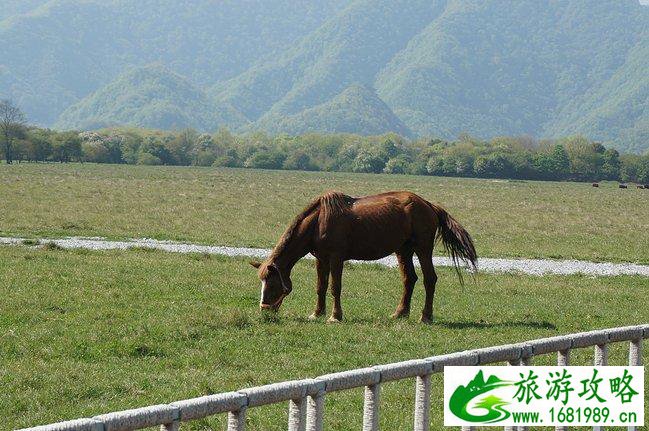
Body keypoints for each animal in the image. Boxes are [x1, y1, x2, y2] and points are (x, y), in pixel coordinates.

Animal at [252, 192, 476, 324]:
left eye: (272, 284)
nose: (265, 311)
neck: (318, 221)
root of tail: (429, 205)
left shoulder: (336, 258)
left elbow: (335, 287)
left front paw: (335, 316)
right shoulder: (321, 259)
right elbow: (320, 287)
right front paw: (317, 313)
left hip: (422, 249)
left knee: (430, 279)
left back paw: (426, 316)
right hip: (403, 250)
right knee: (409, 279)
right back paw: (400, 313)